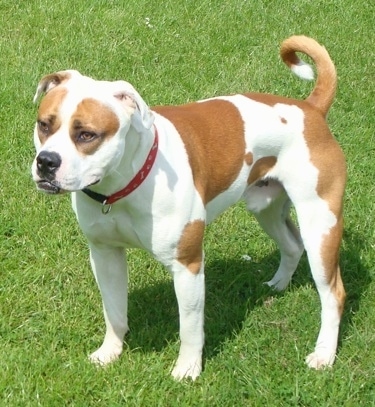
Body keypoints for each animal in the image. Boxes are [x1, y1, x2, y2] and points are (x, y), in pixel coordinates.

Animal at [31, 36, 346, 380]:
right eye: (44, 125)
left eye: (87, 135)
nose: (46, 161)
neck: (125, 184)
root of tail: (311, 108)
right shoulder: (104, 254)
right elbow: (113, 309)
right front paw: (110, 352)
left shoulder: (187, 265)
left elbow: (190, 327)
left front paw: (188, 369)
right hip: (267, 208)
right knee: (291, 244)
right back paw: (278, 284)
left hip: (320, 223)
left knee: (333, 293)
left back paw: (324, 354)